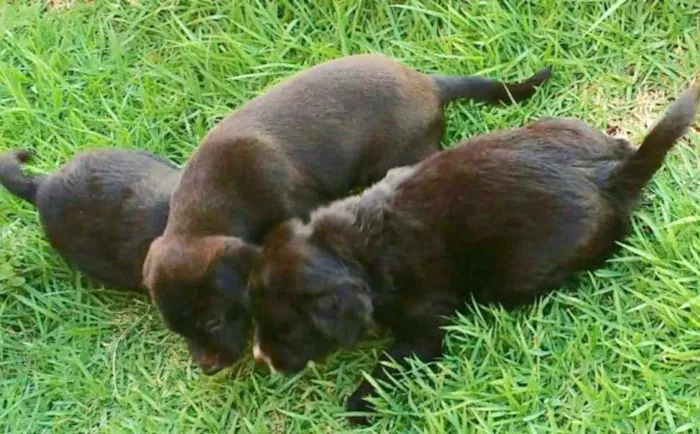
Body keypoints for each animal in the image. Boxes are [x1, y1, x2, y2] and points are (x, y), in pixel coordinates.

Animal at [139, 53, 548, 372]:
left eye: (213, 320)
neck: (216, 199)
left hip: (404, 153)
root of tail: (428, 84)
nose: (208, 369)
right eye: (179, 330)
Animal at [249, 84, 696, 424]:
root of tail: (607, 176)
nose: (263, 360)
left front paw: (358, 405)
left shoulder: (425, 323)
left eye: (288, 330)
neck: (352, 251)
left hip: (522, 271)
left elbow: (391, 364)